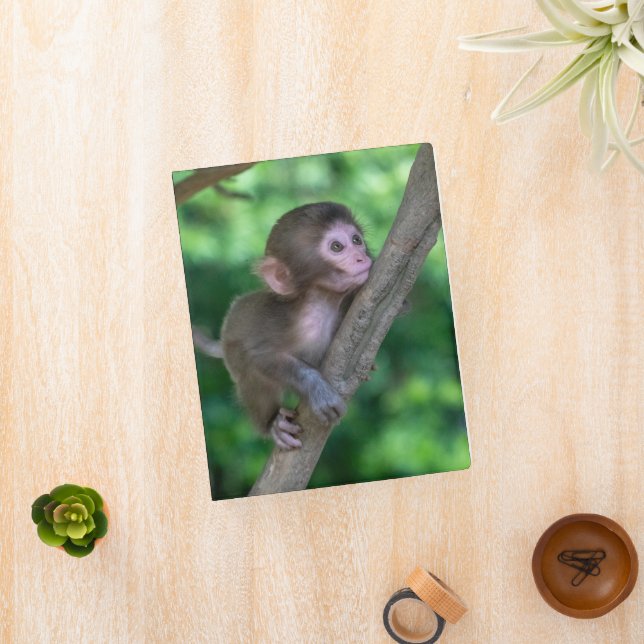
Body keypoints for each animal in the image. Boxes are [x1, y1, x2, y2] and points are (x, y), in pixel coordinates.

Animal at [220, 202, 372, 450]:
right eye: (337, 247)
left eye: (356, 240)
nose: (361, 257)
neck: (322, 304)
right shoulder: (280, 325)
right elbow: (260, 356)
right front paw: (316, 389)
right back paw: (273, 424)